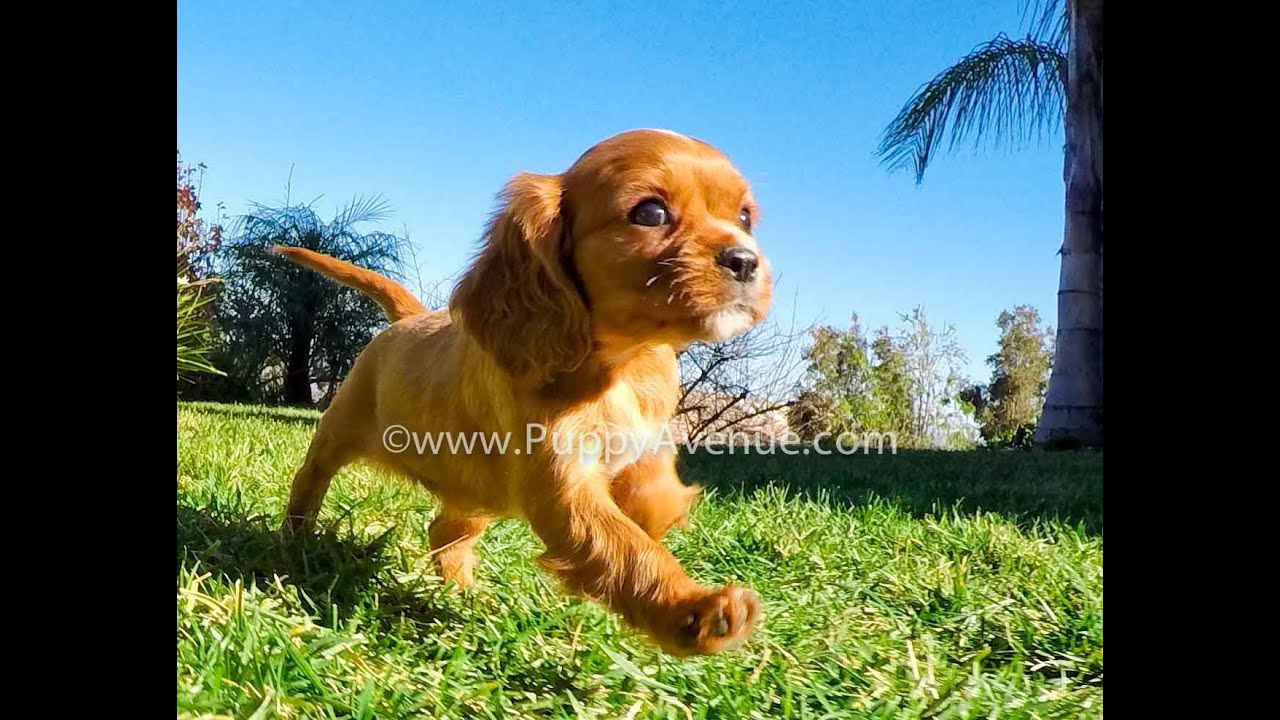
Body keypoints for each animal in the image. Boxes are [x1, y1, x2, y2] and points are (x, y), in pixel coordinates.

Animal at [276, 126, 773, 653]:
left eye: (744, 218)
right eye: (651, 213)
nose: (745, 260)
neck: (622, 364)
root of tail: (410, 317)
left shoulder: (645, 436)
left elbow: (651, 488)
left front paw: (659, 509)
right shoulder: (563, 488)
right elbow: (627, 550)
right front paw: (694, 611)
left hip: (477, 491)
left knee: (445, 528)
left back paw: (463, 593)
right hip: (340, 430)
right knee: (310, 479)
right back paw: (294, 538)